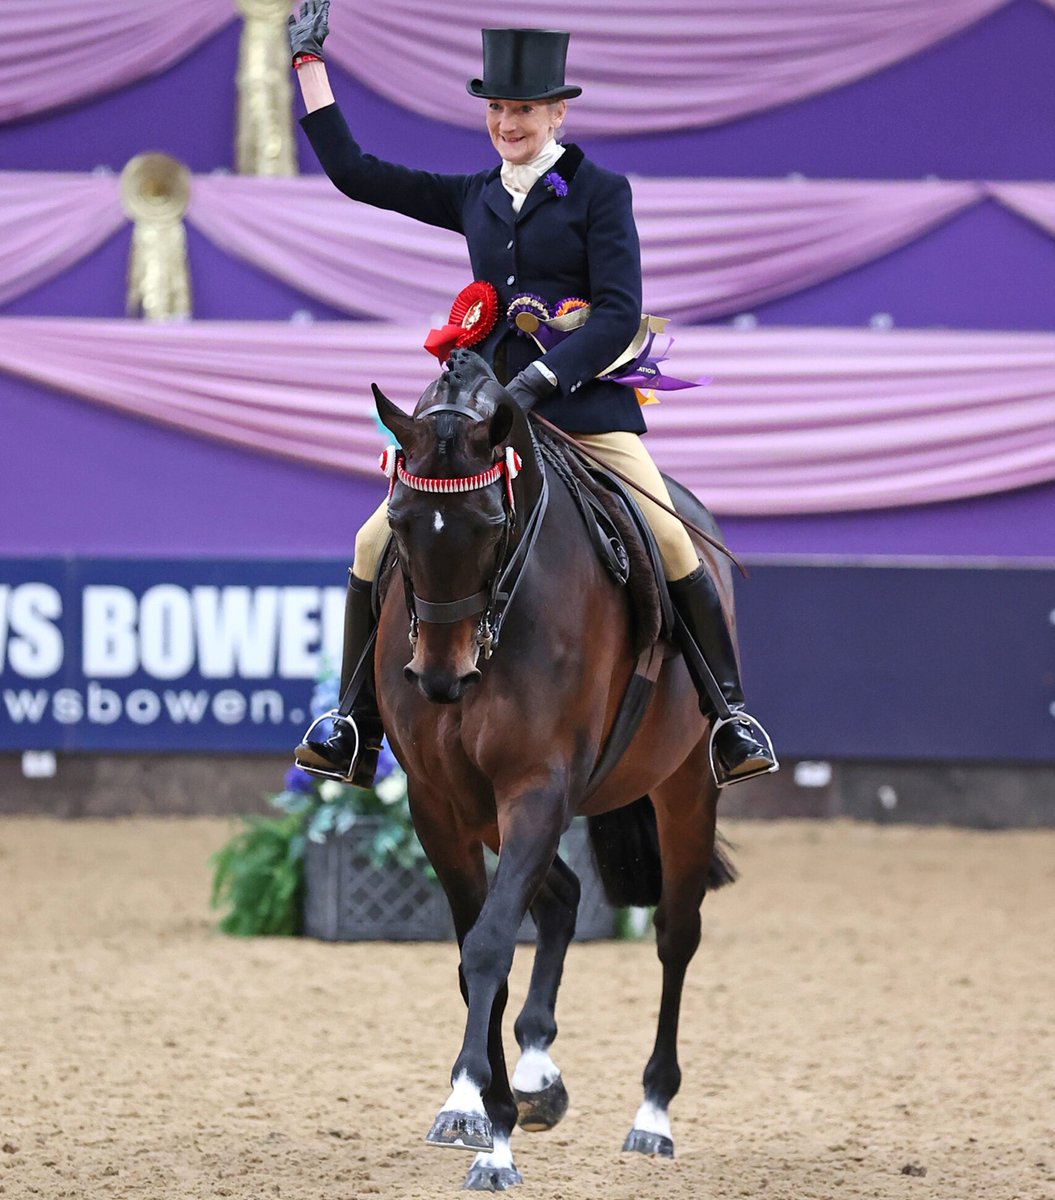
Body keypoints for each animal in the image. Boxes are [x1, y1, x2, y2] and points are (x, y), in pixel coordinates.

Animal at [370, 347, 738, 1191]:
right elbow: (477, 952)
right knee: (563, 897)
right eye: (399, 523)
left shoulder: (537, 788)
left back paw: (652, 1114)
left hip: (684, 787)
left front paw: (494, 1136)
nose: (438, 679)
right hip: (489, 811)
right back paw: (535, 1071)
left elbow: (489, 944)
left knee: (675, 933)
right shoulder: (438, 803)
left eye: (488, 523)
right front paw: (476, 1105)